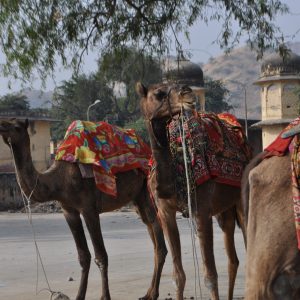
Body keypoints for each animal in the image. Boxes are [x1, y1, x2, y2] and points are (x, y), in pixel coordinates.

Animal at [0, 118, 168, 300]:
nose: (1, 125)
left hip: (148, 187)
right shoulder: (69, 211)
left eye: (16, 127)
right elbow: (83, 256)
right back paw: (148, 293)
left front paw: (105, 297)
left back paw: (153, 293)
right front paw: (79, 295)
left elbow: (101, 256)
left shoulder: (89, 208)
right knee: (150, 229)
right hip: (137, 196)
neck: (59, 181)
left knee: (156, 229)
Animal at [136, 82, 248, 300]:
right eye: (159, 94)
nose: (187, 94)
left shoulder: (201, 211)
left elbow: (210, 276)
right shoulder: (165, 212)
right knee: (233, 259)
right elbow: (178, 276)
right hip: (224, 211)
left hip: (241, 201)